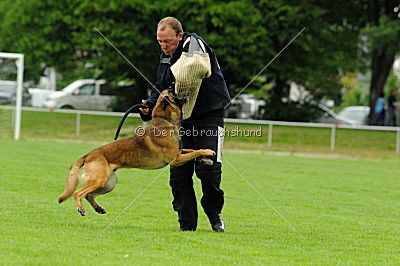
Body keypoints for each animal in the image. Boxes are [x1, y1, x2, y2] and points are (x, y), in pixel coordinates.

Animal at [57, 90, 216, 216]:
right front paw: (208, 151)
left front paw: (206, 159)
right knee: (78, 193)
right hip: (99, 180)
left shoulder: (179, 152)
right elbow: (195, 152)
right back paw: (81, 209)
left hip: (109, 183)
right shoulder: (175, 159)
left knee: (89, 195)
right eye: (171, 92)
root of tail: (89, 155)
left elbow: (192, 150)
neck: (164, 120)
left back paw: (98, 208)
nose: (173, 84)